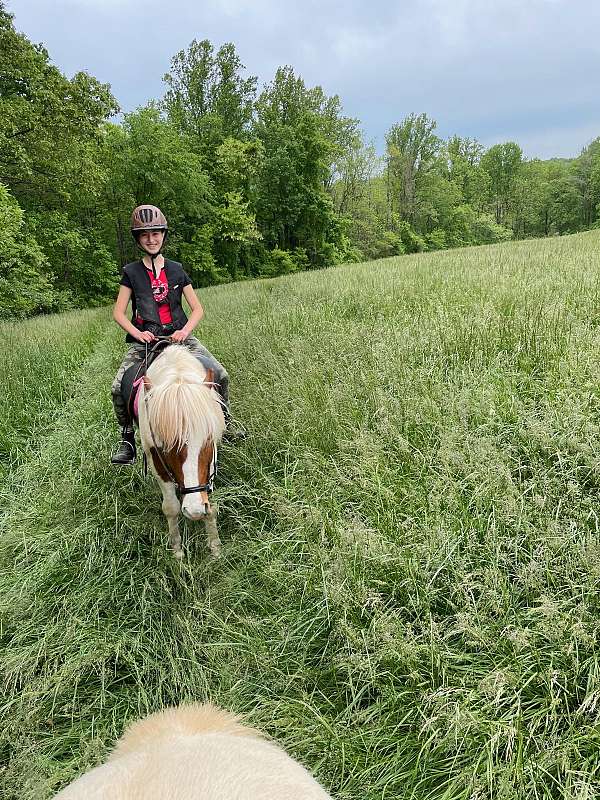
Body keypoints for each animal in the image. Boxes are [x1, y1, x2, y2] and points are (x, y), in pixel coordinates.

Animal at [137, 346, 226, 560]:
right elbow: (171, 508)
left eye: (208, 440)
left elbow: (210, 504)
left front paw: (215, 548)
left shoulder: (211, 460)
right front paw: (177, 551)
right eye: (165, 446)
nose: (194, 511)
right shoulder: (156, 461)